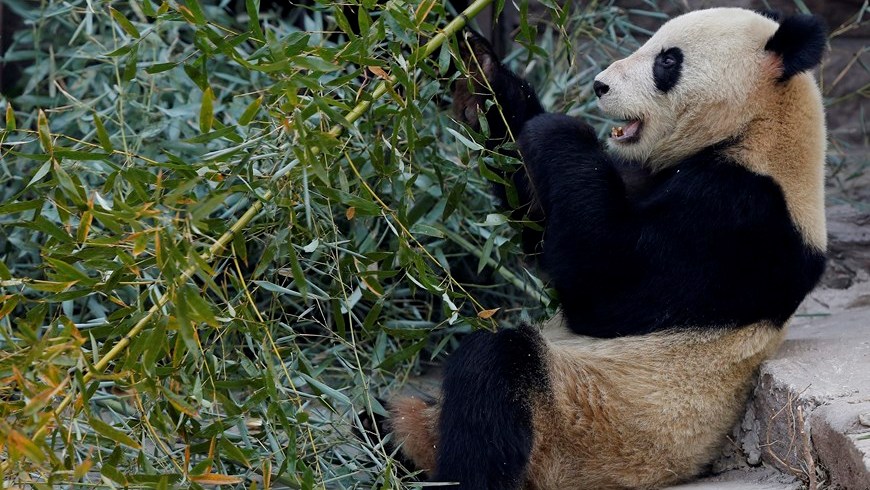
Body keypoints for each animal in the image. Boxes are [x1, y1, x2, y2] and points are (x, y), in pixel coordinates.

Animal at [389, 8, 828, 490]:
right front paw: (476, 66)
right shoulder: (646, 175)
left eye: (667, 61)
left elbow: (605, 282)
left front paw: (561, 128)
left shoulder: (741, 219)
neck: (756, 128)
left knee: (494, 377)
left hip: (586, 430)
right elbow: (540, 218)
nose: (599, 86)